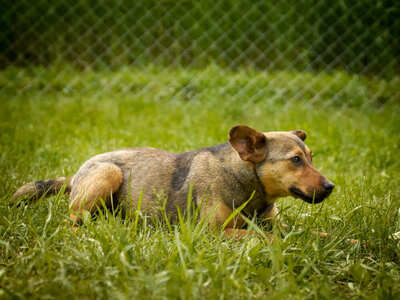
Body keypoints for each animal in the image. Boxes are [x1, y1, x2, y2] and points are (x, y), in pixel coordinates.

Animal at [10, 125, 334, 238]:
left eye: (311, 157)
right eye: (295, 160)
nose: (331, 187)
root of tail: (76, 173)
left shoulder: (275, 222)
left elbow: (305, 233)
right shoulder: (210, 233)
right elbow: (264, 237)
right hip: (108, 174)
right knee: (71, 222)